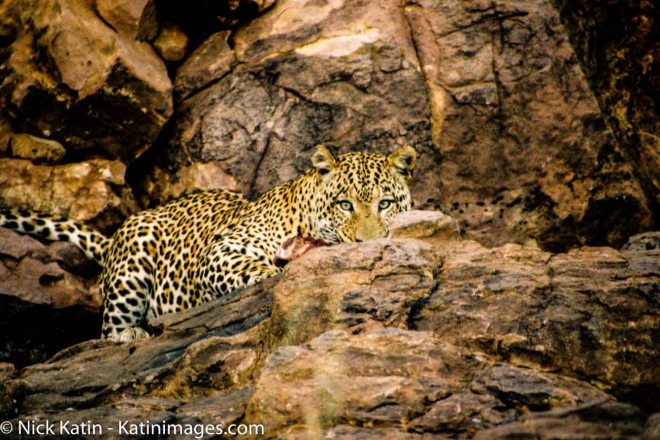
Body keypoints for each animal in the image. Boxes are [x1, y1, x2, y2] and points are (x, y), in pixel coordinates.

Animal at [0, 145, 416, 341]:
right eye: (345, 204)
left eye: (385, 204)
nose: (365, 243)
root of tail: (115, 236)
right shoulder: (222, 250)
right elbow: (257, 269)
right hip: (134, 260)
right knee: (105, 332)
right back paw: (130, 334)